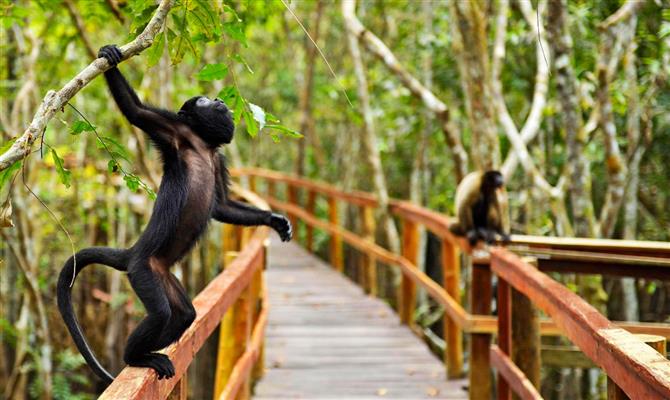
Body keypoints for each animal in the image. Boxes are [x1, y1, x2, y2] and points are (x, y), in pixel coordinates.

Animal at [55, 44, 292, 384]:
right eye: (203, 101)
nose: (219, 100)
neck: (203, 144)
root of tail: (133, 252)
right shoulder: (176, 132)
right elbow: (136, 111)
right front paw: (109, 56)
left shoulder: (218, 159)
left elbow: (221, 206)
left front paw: (274, 220)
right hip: (143, 270)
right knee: (160, 313)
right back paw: (135, 357)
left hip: (163, 273)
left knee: (183, 314)